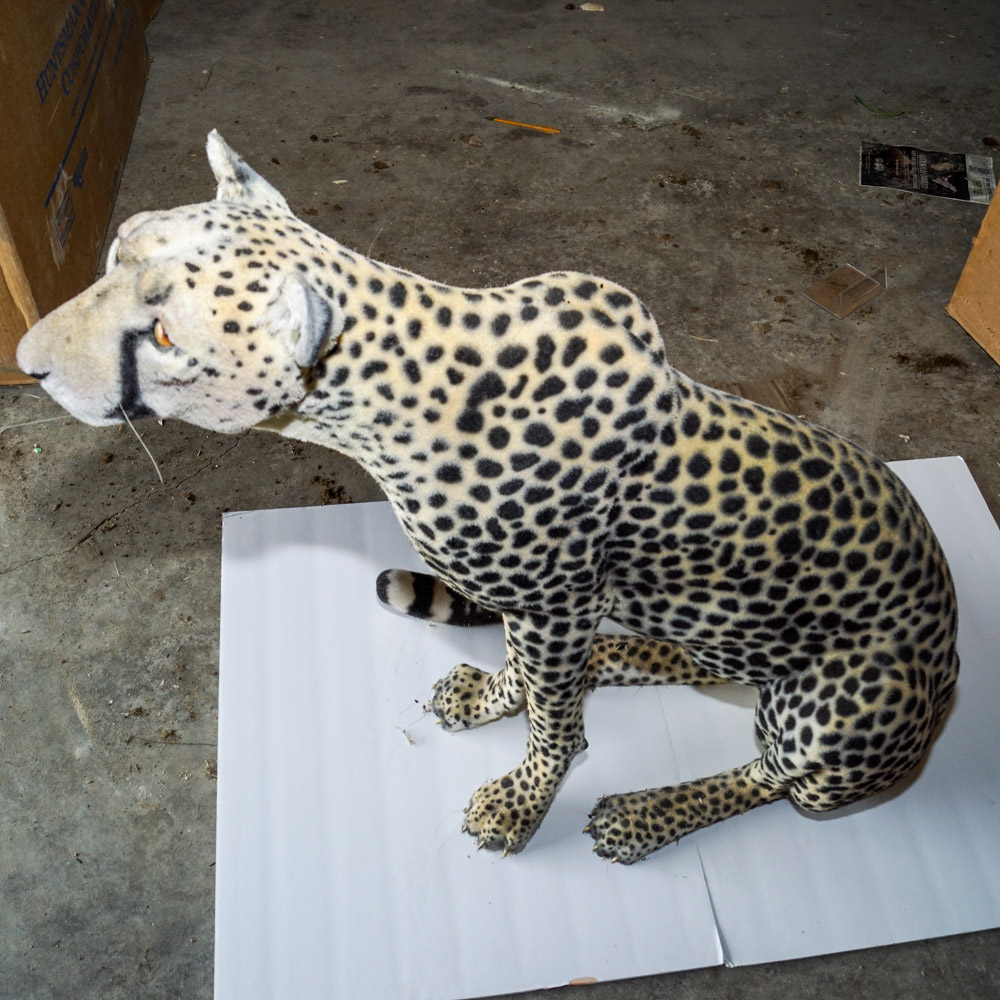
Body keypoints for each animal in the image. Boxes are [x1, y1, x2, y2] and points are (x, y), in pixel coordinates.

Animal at [17, 130, 959, 863]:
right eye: (111, 257)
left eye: (163, 335)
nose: (26, 362)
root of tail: (950, 669)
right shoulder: (545, 606)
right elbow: (531, 680)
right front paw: (500, 699)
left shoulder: (557, 599)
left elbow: (556, 726)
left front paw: (525, 799)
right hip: (723, 636)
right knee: (687, 658)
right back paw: (610, 666)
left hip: (847, 709)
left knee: (771, 774)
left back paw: (648, 815)